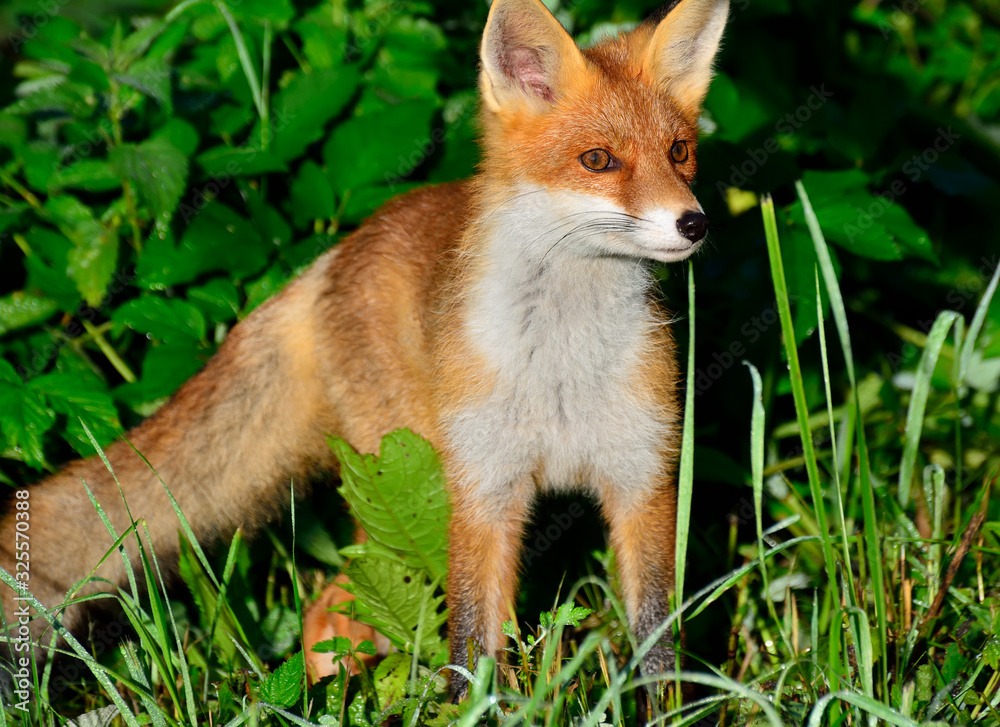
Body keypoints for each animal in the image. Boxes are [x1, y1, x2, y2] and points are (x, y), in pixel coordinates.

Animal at [0, 0, 728, 698]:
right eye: (598, 160)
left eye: (679, 152)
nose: (694, 223)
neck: (561, 374)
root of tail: (335, 255)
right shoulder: (481, 492)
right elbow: (473, 650)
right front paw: (470, 708)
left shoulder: (642, 479)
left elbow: (658, 646)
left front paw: (670, 712)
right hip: (400, 485)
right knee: (336, 604)